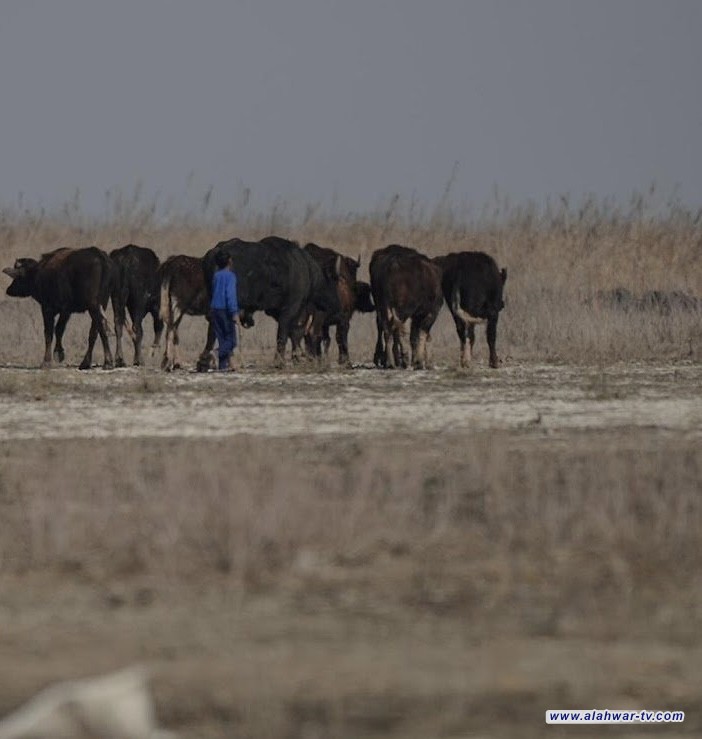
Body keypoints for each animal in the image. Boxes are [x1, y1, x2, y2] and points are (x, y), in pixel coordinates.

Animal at [199, 236, 342, 366]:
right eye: (333, 281)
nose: (336, 304)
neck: (307, 270)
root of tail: (219, 251)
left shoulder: (277, 311)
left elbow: (294, 332)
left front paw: (296, 357)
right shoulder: (290, 308)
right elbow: (285, 333)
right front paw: (281, 360)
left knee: (213, 323)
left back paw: (205, 360)